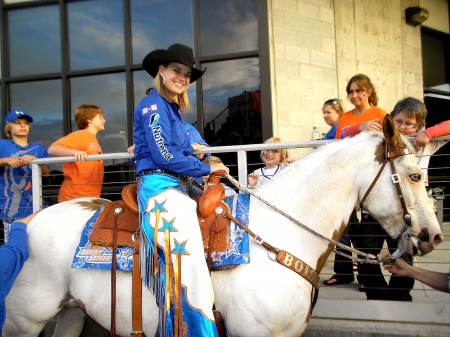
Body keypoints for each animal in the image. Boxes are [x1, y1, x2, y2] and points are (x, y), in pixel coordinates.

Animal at [4, 117, 442, 334]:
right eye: (414, 176)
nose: (432, 236)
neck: (280, 240)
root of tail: (30, 219)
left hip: (71, 313)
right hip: (23, 319)